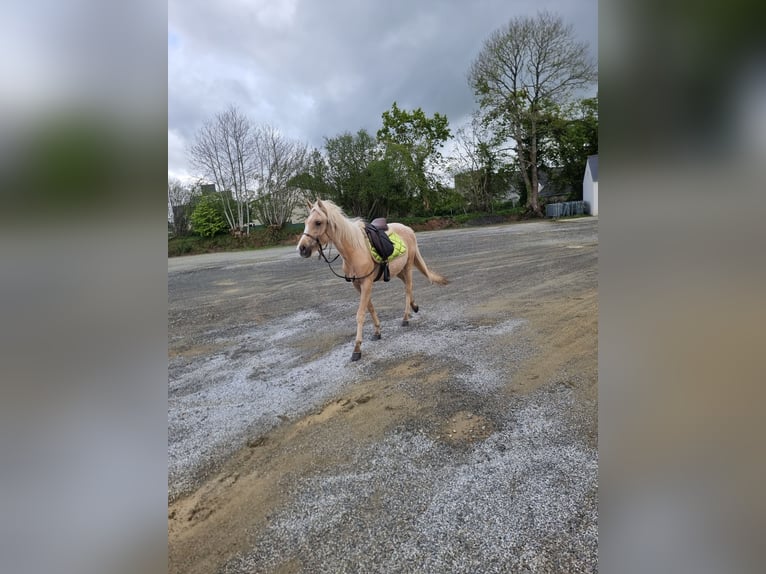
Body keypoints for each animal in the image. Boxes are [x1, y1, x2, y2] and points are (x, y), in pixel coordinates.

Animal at [296, 198, 448, 360]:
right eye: (306, 221)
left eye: (318, 222)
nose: (302, 248)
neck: (355, 250)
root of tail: (408, 229)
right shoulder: (358, 285)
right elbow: (370, 308)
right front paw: (377, 332)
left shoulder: (366, 283)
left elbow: (360, 314)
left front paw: (357, 349)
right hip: (398, 271)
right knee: (408, 287)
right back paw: (414, 306)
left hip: (407, 267)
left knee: (408, 289)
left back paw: (406, 318)